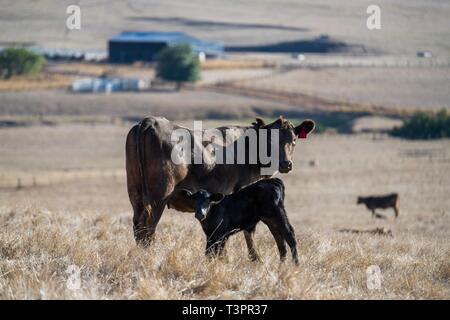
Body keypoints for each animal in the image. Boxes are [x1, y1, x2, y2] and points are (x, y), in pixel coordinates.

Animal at [125, 116, 314, 246]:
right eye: (270, 140)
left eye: (294, 140)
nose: (286, 164)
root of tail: (150, 121)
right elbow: (248, 232)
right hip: (159, 196)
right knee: (147, 228)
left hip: (135, 194)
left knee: (137, 226)